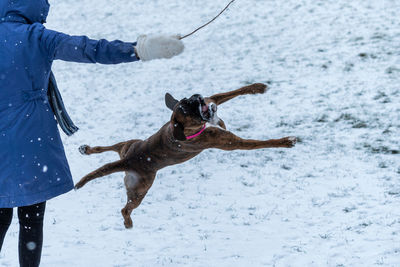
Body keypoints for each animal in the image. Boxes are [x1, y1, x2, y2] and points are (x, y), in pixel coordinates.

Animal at [74, 83, 296, 228]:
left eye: (187, 100)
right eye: (187, 110)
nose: (197, 97)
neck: (195, 127)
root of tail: (128, 161)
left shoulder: (214, 99)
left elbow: (234, 91)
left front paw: (258, 87)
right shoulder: (233, 143)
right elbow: (262, 143)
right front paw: (286, 141)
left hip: (129, 145)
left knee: (109, 147)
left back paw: (87, 149)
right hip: (140, 190)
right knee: (125, 209)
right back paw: (128, 223)